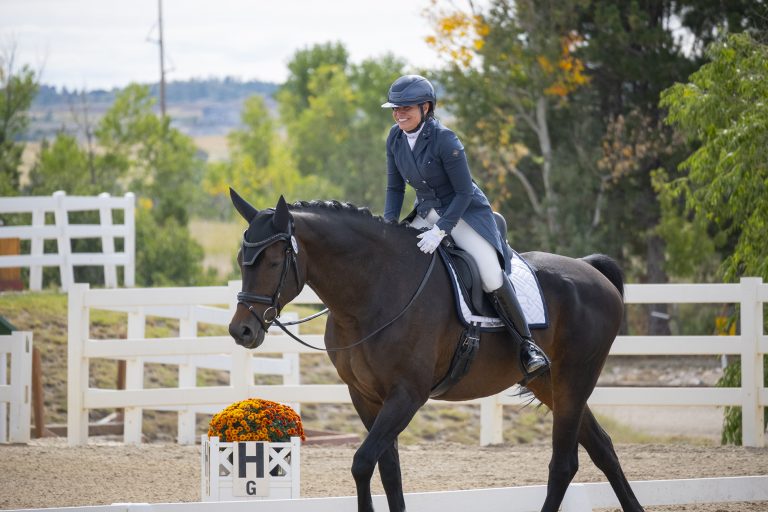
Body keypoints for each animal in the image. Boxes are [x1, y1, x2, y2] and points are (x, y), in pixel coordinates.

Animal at [227, 189, 645, 512]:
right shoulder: (365, 396)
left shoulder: (407, 395)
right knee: (601, 448)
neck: (373, 290)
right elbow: (388, 470)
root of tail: (592, 271)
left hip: (575, 378)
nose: (241, 330)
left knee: (564, 463)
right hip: (549, 383)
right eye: (241, 261)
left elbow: (362, 463)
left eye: (275, 261)